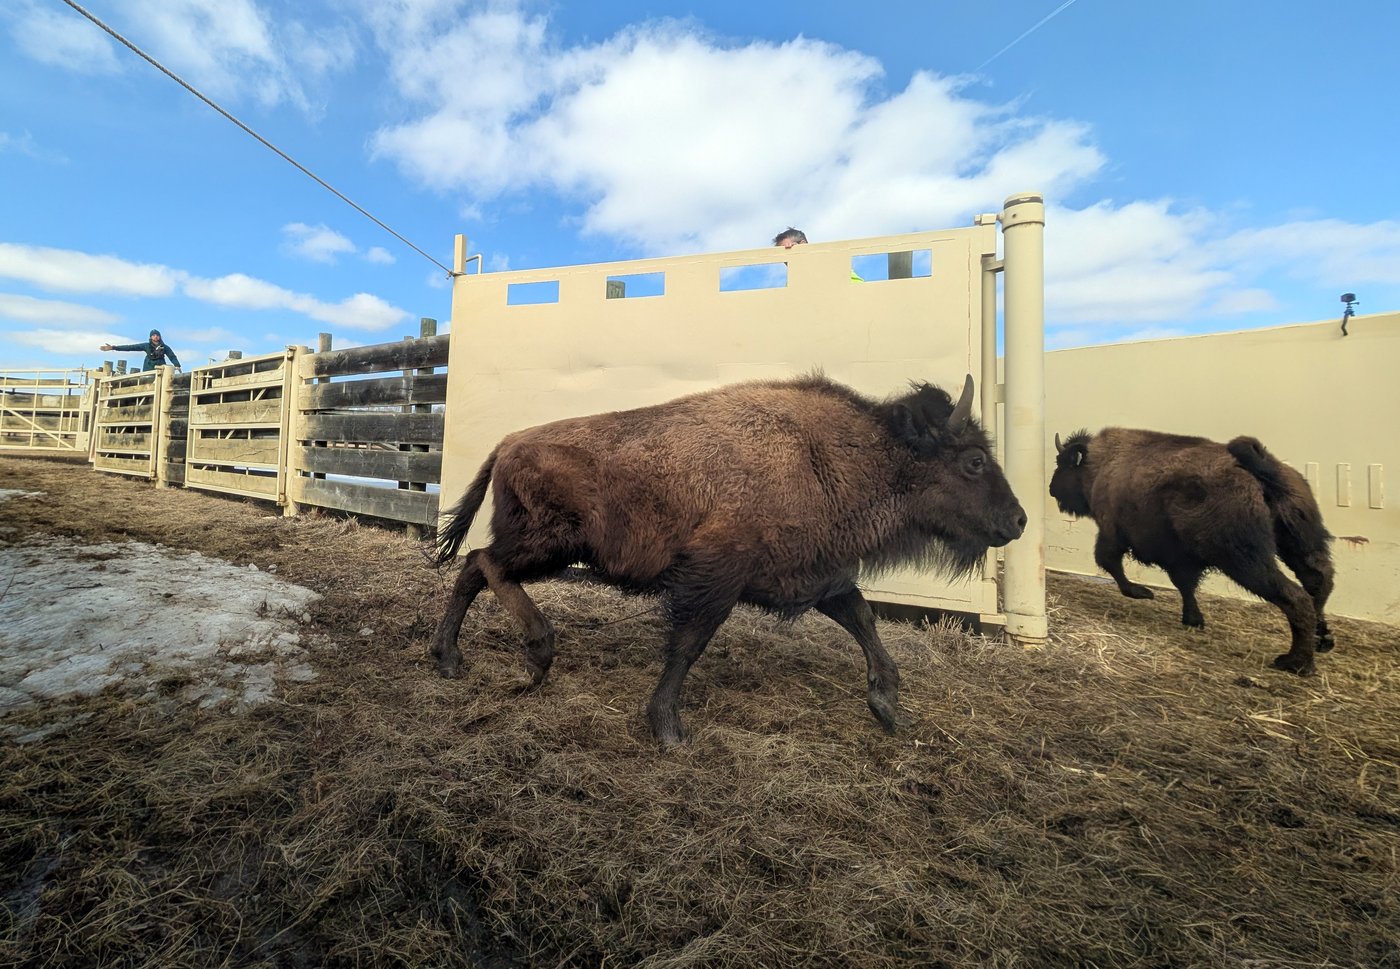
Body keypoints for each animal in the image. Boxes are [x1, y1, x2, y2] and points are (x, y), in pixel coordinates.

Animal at [430, 374, 1027, 747]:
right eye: (974, 461)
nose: (1018, 521)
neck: (829, 455)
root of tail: (507, 443)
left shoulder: (813, 578)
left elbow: (862, 618)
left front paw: (889, 709)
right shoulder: (714, 578)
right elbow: (688, 645)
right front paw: (668, 729)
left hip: (545, 546)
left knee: (473, 569)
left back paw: (448, 659)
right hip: (549, 545)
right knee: (487, 564)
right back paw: (537, 655)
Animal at [1049, 427, 1335, 675]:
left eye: (1063, 463)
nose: (1052, 489)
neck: (1100, 464)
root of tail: (1263, 471)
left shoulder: (1113, 532)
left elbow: (1109, 561)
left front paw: (1143, 593)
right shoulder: (1181, 559)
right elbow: (1185, 585)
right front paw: (1193, 619)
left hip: (1245, 561)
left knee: (1295, 596)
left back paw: (1295, 663)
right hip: (1299, 544)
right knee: (1318, 582)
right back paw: (1322, 640)